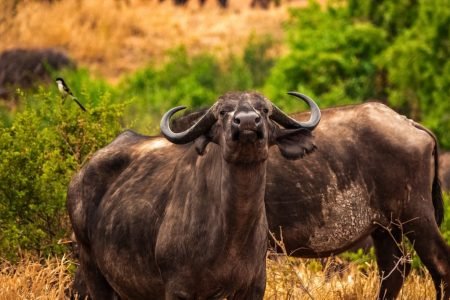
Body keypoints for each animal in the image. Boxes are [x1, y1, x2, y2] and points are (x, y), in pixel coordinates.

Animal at [67, 92, 320, 298]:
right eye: (222, 112)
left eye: (265, 110)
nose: (247, 121)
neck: (232, 234)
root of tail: (78, 179)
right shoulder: (179, 290)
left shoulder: (254, 287)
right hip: (93, 270)